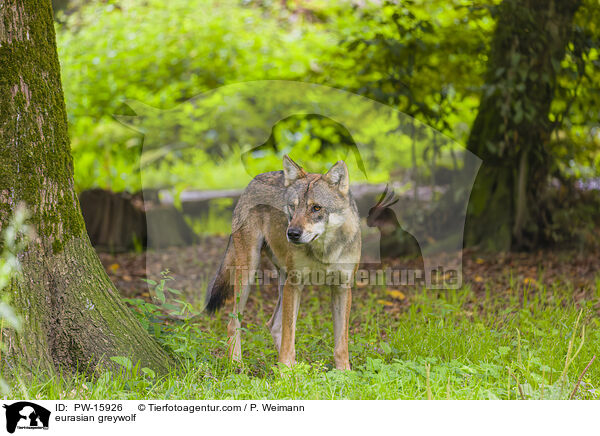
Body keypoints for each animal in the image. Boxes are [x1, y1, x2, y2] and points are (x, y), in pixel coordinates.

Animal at [204, 155, 360, 370]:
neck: (324, 251)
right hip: (249, 273)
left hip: (281, 281)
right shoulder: (294, 285)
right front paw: (285, 370)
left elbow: (341, 343)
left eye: (316, 208)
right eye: (292, 207)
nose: (292, 233)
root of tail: (254, 179)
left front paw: (344, 372)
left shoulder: (342, 288)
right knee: (234, 322)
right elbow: (289, 337)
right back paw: (238, 364)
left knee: (273, 324)